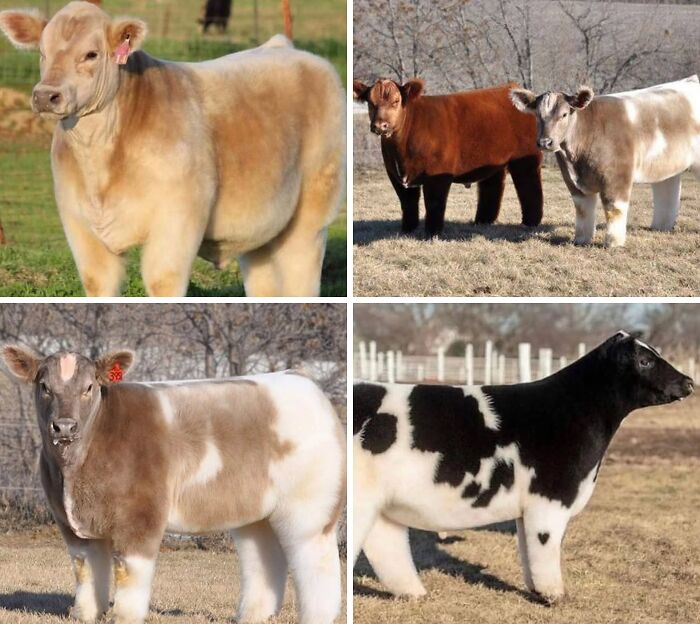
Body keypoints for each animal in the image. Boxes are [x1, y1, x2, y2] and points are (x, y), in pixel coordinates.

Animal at [0, 1, 344, 296]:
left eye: (91, 54)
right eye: (42, 53)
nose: (46, 95)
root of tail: (285, 47)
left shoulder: (177, 219)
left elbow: (162, 281)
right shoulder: (79, 223)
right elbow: (97, 283)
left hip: (311, 215)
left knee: (302, 272)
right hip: (260, 228)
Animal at [1, 345, 345, 624]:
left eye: (89, 387)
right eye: (44, 386)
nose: (64, 426)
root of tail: (302, 380)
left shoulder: (141, 516)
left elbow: (129, 574)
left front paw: (124, 616)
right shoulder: (71, 524)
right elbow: (86, 572)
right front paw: (85, 615)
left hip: (309, 510)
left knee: (317, 565)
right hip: (256, 512)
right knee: (263, 558)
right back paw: (251, 615)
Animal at [353, 78, 544, 236]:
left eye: (396, 101)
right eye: (370, 103)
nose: (380, 125)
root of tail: (513, 88)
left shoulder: (438, 173)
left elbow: (434, 202)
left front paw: (432, 233)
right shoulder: (395, 174)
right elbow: (407, 203)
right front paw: (407, 230)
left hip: (525, 158)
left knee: (529, 186)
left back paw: (530, 222)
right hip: (493, 159)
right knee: (492, 186)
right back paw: (483, 221)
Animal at [353, 331, 694, 604]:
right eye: (645, 361)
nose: (689, 382)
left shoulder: (527, 508)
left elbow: (528, 551)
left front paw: (536, 590)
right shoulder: (550, 498)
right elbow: (545, 548)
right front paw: (554, 595)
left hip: (382, 506)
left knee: (386, 547)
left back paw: (414, 593)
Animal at [510, 77, 700, 248]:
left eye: (564, 114)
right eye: (537, 116)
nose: (545, 142)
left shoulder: (617, 177)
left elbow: (613, 209)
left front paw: (613, 243)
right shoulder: (573, 183)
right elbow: (582, 210)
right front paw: (581, 240)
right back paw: (661, 226)